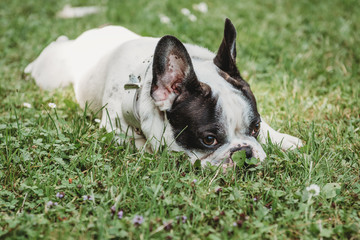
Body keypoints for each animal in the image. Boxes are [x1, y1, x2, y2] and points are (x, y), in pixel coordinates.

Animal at [23, 18, 302, 167]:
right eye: (209, 139)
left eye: (255, 127)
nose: (245, 152)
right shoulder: (114, 129)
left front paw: (282, 139)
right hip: (52, 76)